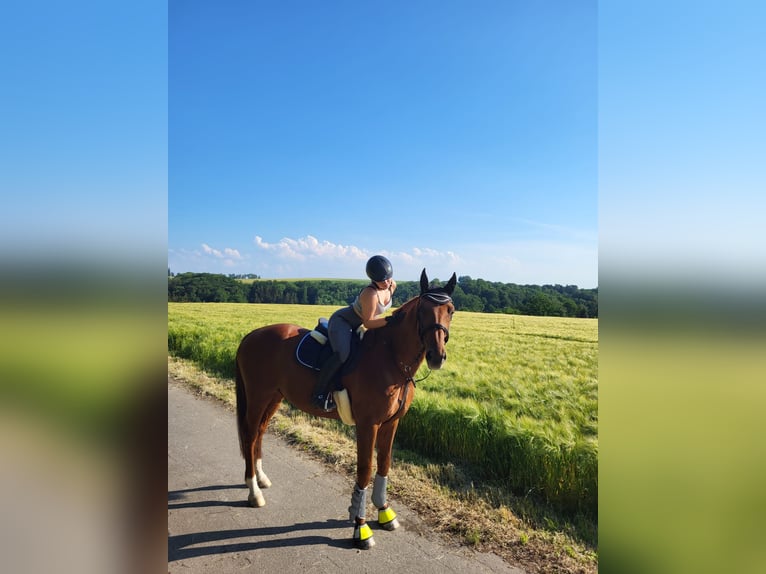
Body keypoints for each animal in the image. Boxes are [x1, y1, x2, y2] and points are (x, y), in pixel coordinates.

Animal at [236, 270, 456, 548]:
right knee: (250, 434)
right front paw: (361, 527)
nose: (437, 356)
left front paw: (384, 511)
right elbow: (365, 470)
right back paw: (253, 491)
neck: (391, 359)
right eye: (424, 310)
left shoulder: (391, 423)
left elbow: (384, 465)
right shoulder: (367, 425)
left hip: (274, 397)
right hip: (257, 396)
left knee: (260, 433)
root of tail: (250, 336)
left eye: (451, 310)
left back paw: (261, 478)